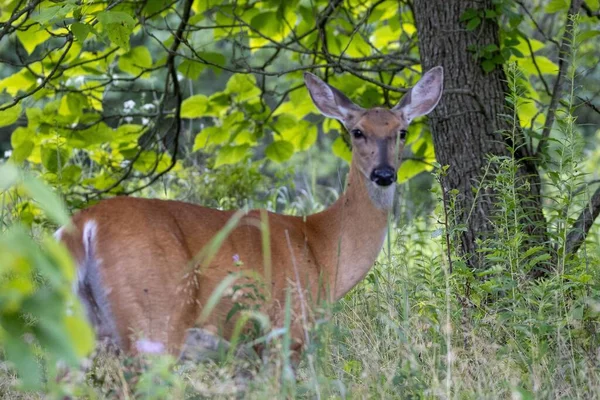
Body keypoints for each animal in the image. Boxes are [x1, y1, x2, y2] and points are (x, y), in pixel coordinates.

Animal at [56, 67, 442, 364]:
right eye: (357, 131)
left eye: (402, 131)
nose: (384, 174)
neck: (321, 247)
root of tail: (84, 225)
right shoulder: (288, 327)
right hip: (154, 318)